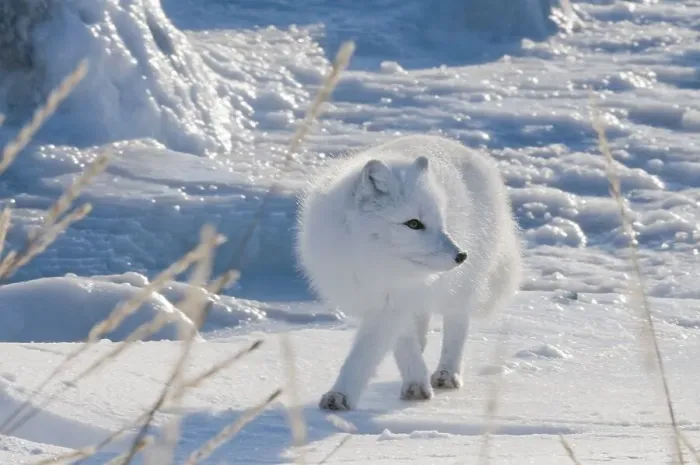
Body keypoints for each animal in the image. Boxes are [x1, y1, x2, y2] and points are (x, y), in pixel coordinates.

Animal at [295, 134, 522, 411]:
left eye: (441, 222)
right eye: (413, 224)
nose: (461, 256)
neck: (371, 263)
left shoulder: (392, 304)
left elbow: (364, 354)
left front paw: (341, 395)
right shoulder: (387, 300)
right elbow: (402, 342)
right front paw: (415, 380)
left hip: (460, 289)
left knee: (456, 325)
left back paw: (447, 373)